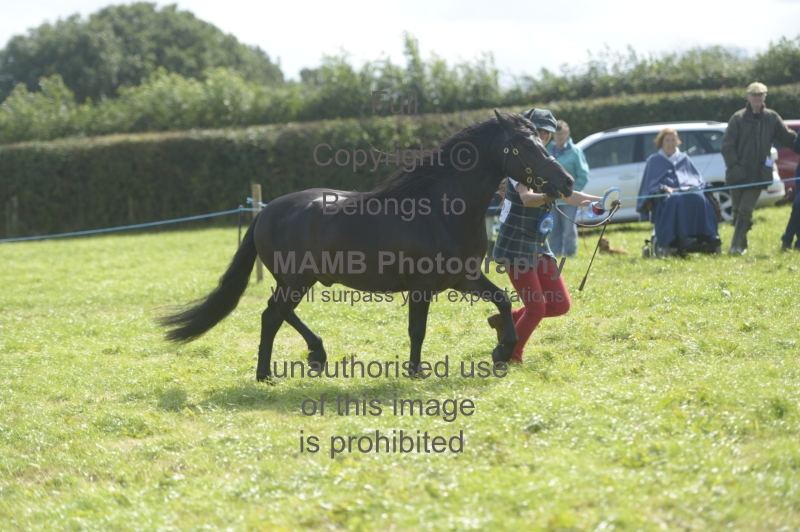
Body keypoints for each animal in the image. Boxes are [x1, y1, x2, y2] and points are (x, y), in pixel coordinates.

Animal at [159, 111, 575, 380]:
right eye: (520, 146)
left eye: (540, 140)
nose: (566, 182)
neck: (442, 209)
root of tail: (265, 212)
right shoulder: (422, 286)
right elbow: (417, 329)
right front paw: (415, 371)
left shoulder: (462, 279)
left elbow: (502, 299)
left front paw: (502, 351)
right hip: (295, 281)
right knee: (272, 316)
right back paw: (271, 372)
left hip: (299, 281)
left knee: (276, 314)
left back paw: (314, 356)